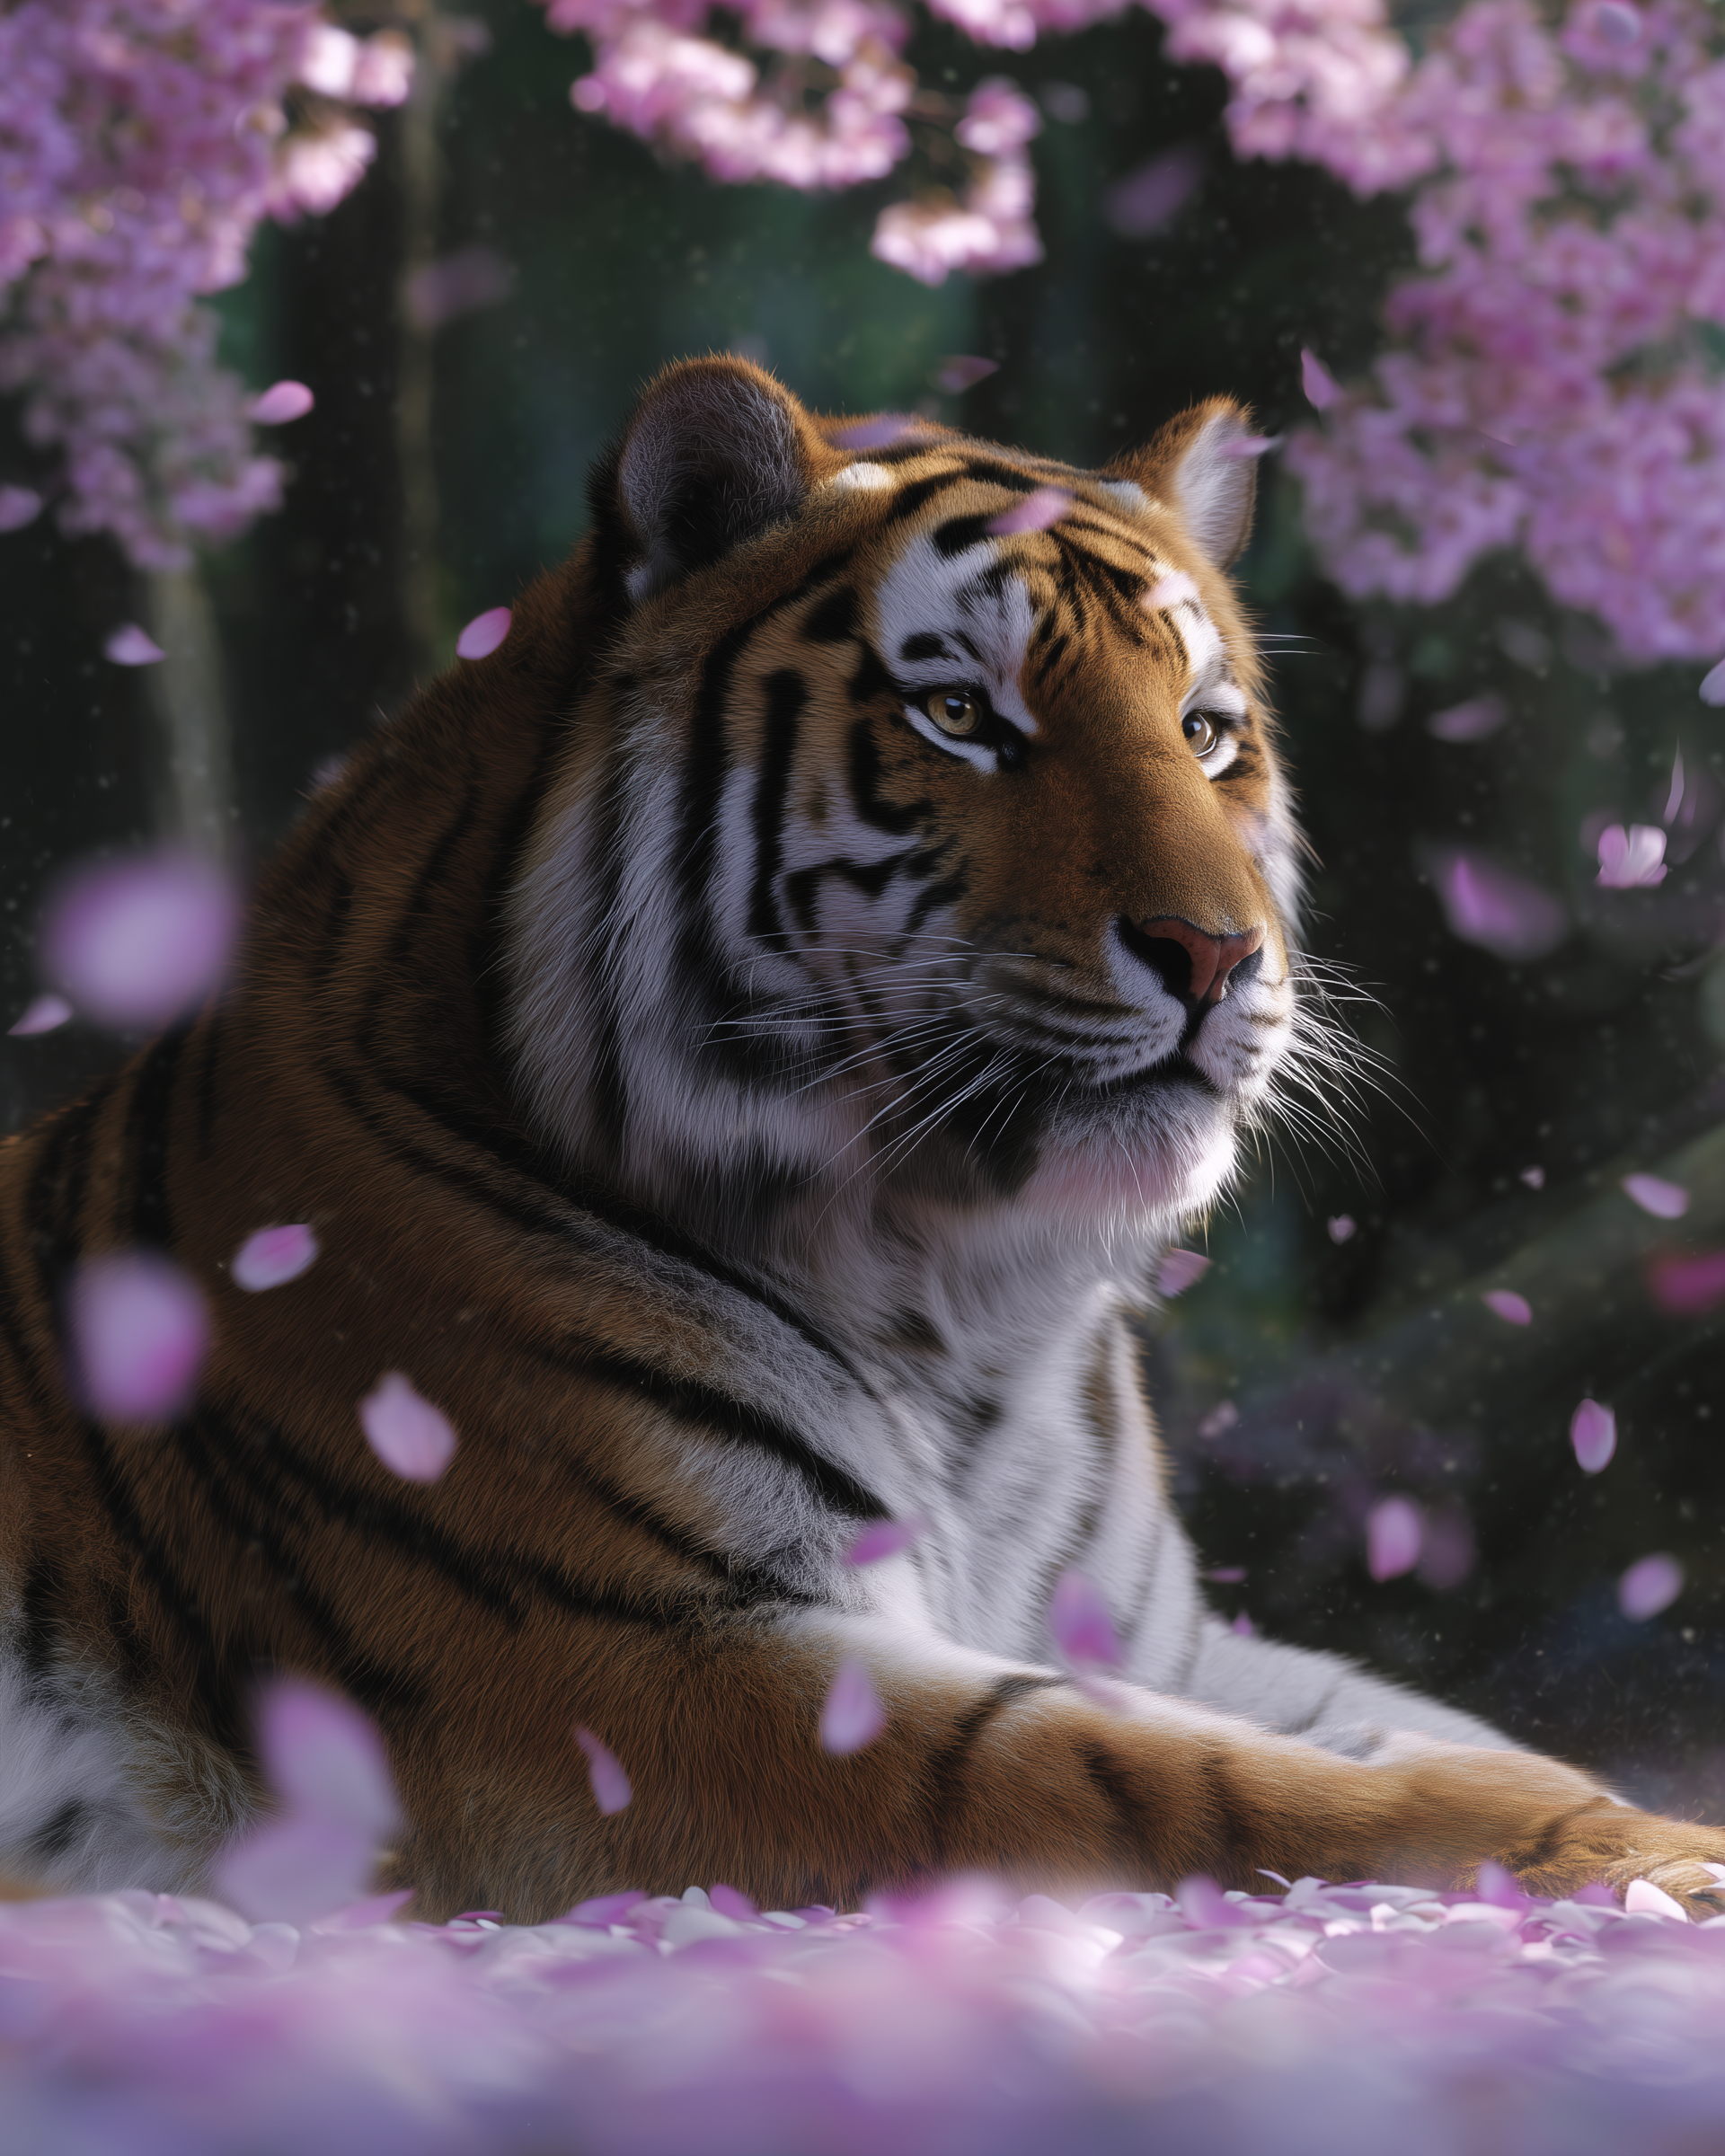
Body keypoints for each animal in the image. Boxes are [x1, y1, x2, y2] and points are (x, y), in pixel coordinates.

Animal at [3, 354, 1722, 1924]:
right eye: (961, 714)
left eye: (1206, 729)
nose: (1218, 953)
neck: (971, 1310)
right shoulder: (640, 1659)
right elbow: (1195, 1783)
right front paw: (1656, 1864)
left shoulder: (1159, 1638)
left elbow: (1455, 1735)